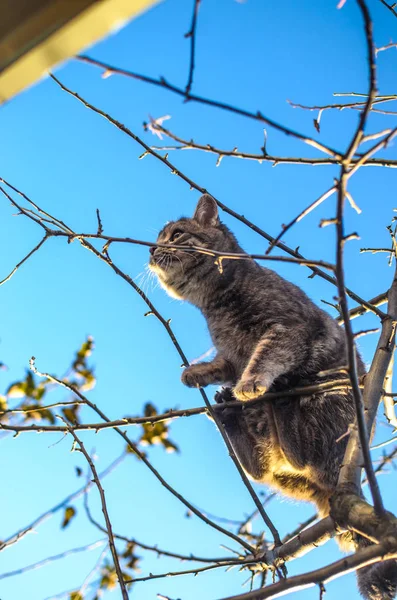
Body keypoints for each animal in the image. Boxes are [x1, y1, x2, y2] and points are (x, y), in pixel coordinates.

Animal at [149, 195, 396, 596]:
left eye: (177, 234)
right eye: (158, 238)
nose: (153, 249)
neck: (215, 304)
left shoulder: (284, 329)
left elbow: (264, 357)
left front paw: (252, 382)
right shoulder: (230, 355)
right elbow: (223, 366)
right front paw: (196, 373)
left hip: (325, 402)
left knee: (299, 453)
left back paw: (276, 396)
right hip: (273, 460)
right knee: (261, 468)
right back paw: (229, 415)